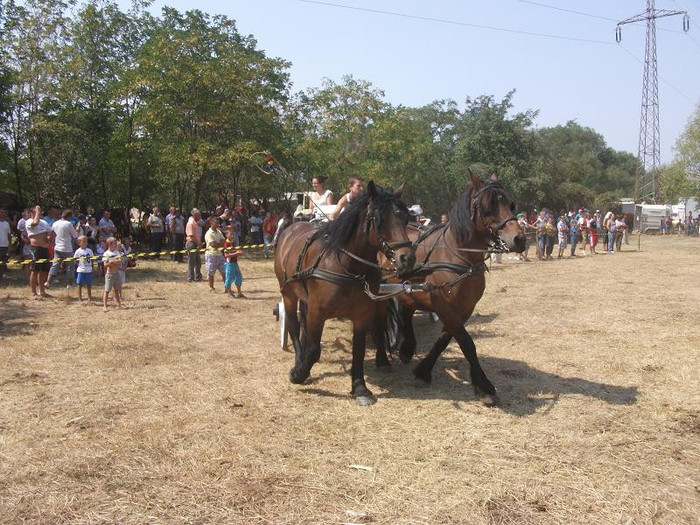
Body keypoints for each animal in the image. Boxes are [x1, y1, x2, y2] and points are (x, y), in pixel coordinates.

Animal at [274, 180, 416, 406]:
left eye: (405, 217)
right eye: (379, 219)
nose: (406, 258)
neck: (346, 266)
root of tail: (291, 229)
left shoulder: (362, 315)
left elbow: (358, 349)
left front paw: (359, 387)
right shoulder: (317, 311)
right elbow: (314, 350)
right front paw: (299, 373)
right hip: (288, 293)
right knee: (294, 325)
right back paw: (298, 359)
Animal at [378, 172, 524, 406]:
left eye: (511, 204)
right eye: (489, 206)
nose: (519, 239)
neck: (459, 257)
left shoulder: (464, 308)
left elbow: (445, 339)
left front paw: (423, 371)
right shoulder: (443, 305)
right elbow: (466, 342)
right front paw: (484, 385)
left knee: (406, 312)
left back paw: (407, 349)